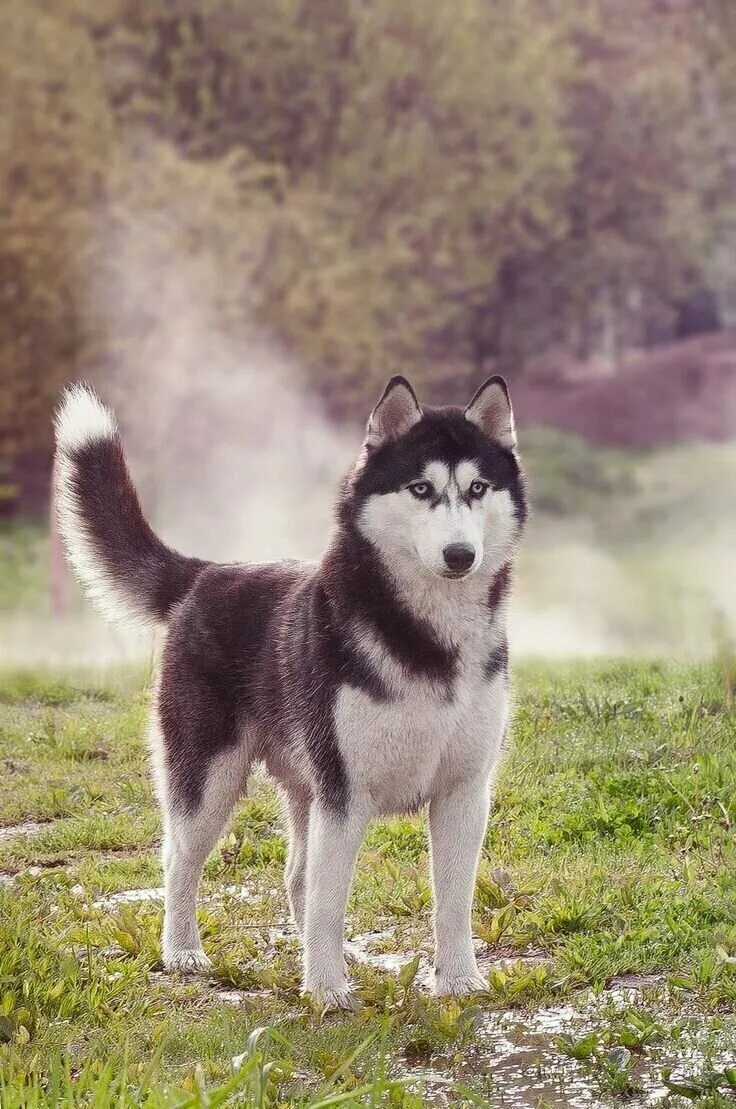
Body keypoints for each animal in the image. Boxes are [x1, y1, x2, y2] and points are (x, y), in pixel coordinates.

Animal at [55, 377, 529, 1011]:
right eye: (421, 488)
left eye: (477, 487)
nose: (460, 555)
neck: (428, 638)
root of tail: (206, 574)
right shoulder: (345, 793)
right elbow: (330, 901)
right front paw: (326, 991)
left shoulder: (463, 792)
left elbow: (453, 904)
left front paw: (457, 982)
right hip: (210, 783)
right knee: (181, 861)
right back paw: (182, 951)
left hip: (304, 789)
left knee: (297, 876)